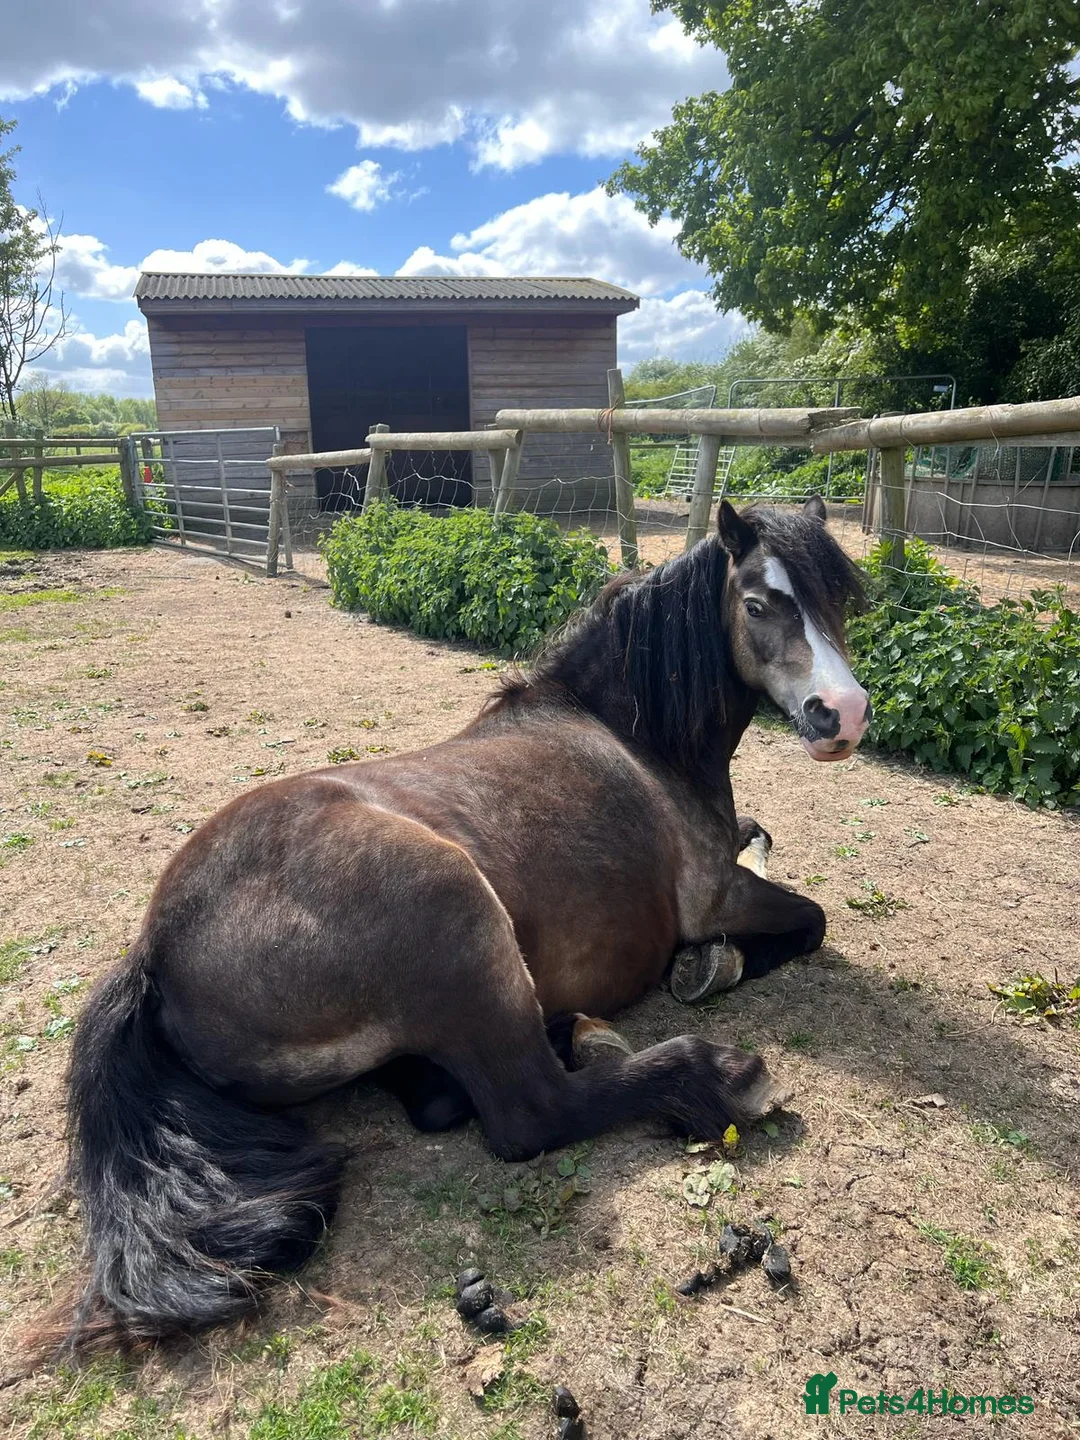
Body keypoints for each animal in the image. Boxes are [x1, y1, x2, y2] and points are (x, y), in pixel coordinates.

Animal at [44, 495, 869, 1355]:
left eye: (838, 600)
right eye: (759, 603)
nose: (841, 715)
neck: (635, 738)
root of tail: (154, 954)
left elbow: (765, 842)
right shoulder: (717, 898)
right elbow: (808, 920)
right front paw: (710, 968)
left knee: (450, 1094)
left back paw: (573, 1032)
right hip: (458, 908)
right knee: (530, 1112)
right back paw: (718, 1075)